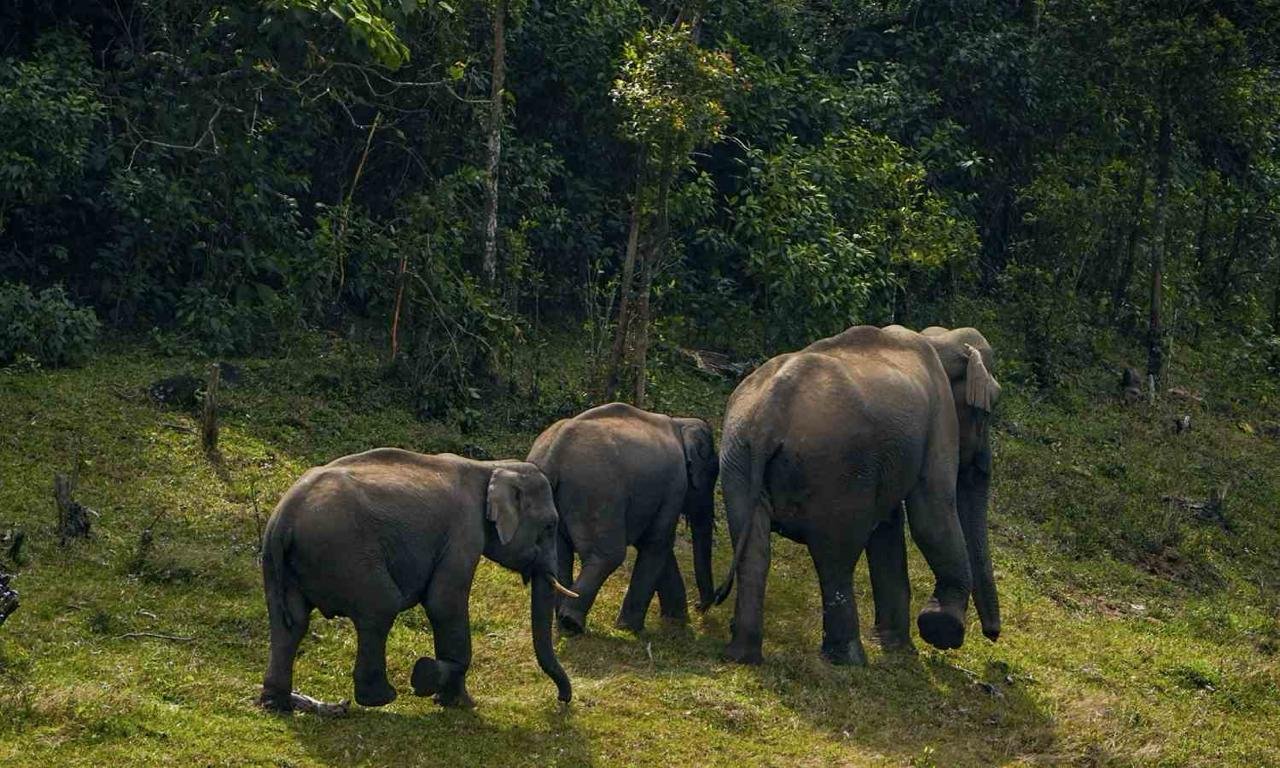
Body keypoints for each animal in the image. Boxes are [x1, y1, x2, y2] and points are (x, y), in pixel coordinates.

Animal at [258, 449, 577, 711]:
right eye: (550, 526)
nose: (562, 700)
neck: (491, 467)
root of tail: (284, 518)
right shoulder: (463, 531)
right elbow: (444, 603)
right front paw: (441, 689)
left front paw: (450, 698)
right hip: (344, 551)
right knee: (381, 606)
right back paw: (382, 698)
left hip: (280, 564)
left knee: (291, 623)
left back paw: (277, 703)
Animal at [526, 403, 717, 635]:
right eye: (713, 475)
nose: (699, 606)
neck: (681, 422)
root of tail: (553, 454)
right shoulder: (675, 485)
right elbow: (658, 542)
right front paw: (630, 629)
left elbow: (654, 543)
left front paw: (676, 620)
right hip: (599, 493)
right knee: (609, 555)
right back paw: (571, 622)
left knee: (560, 557)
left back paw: (562, 626)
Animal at [707, 324, 1001, 665]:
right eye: (986, 412)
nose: (993, 635)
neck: (940, 339)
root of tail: (770, 411)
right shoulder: (940, 421)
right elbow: (932, 512)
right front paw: (940, 628)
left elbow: (888, 527)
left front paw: (898, 647)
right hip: (836, 467)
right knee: (836, 556)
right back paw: (848, 660)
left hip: (737, 454)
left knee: (754, 548)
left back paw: (742, 655)